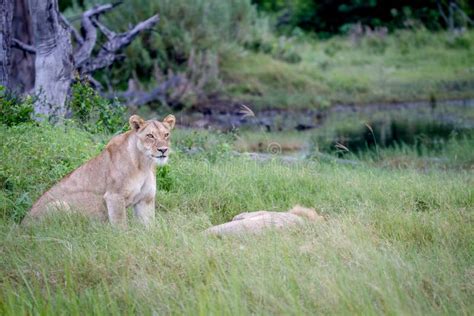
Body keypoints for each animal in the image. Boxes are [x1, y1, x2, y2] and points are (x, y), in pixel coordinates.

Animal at [24, 115, 176, 226]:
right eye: (150, 136)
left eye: (166, 135)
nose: (163, 150)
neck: (144, 164)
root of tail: (22, 226)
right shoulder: (114, 197)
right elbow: (121, 227)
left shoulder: (146, 199)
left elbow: (149, 227)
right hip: (59, 205)